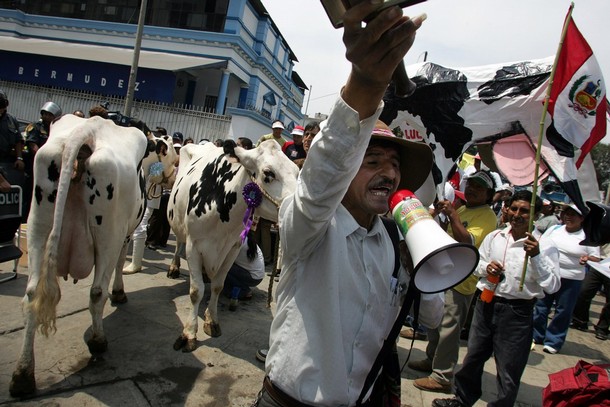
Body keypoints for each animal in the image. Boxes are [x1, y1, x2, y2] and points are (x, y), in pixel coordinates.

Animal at [8, 115, 176, 398]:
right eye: (174, 156)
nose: (172, 179)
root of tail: (87, 131)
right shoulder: (124, 233)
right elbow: (120, 264)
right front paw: (119, 293)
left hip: (37, 224)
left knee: (31, 295)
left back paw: (22, 374)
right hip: (107, 233)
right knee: (96, 292)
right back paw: (98, 342)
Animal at [169, 140, 296, 350]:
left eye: (296, 171)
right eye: (268, 173)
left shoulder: (232, 249)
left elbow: (218, 286)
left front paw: (211, 320)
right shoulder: (193, 245)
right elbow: (196, 291)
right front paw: (189, 333)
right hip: (179, 226)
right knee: (178, 242)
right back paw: (173, 267)